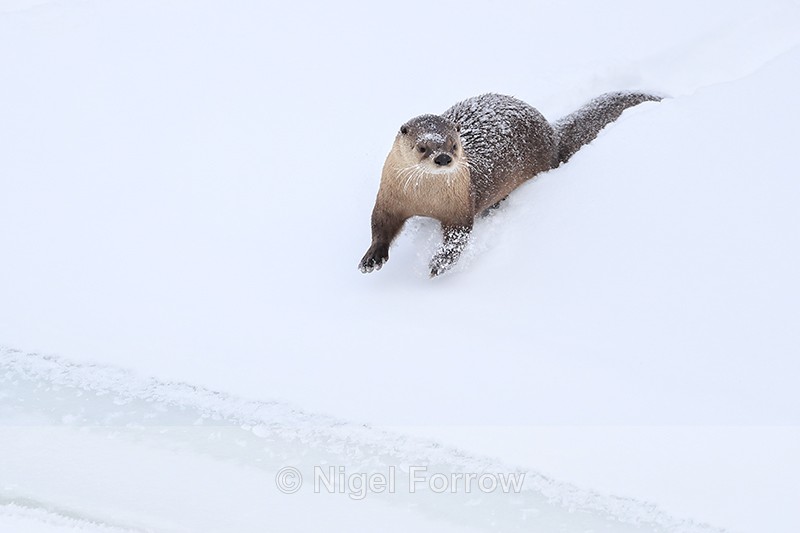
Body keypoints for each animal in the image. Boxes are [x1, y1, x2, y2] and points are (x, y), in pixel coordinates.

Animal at [358, 92, 661, 276]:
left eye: (454, 145)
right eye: (423, 147)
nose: (443, 158)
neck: (424, 199)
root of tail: (551, 134)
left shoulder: (460, 206)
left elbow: (458, 237)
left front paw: (440, 263)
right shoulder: (389, 197)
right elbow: (381, 225)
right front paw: (372, 258)